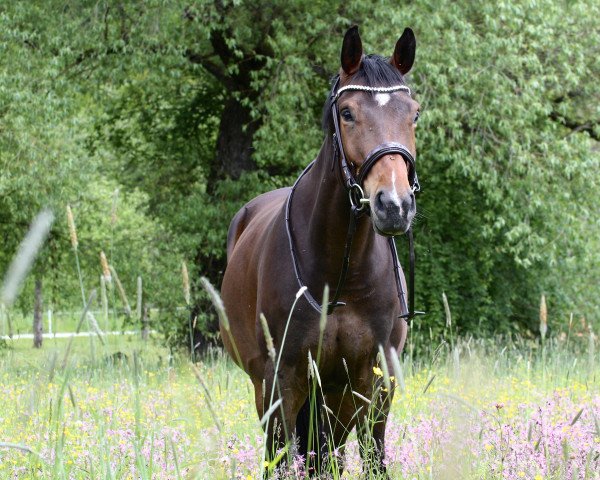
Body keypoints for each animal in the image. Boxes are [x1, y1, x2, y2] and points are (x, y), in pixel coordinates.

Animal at [218, 26, 420, 476]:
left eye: (413, 114)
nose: (394, 205)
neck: (341, 276)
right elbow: (278, 459)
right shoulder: (283, 380)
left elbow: (372, 458)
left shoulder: (374, 381)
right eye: (347, 113)